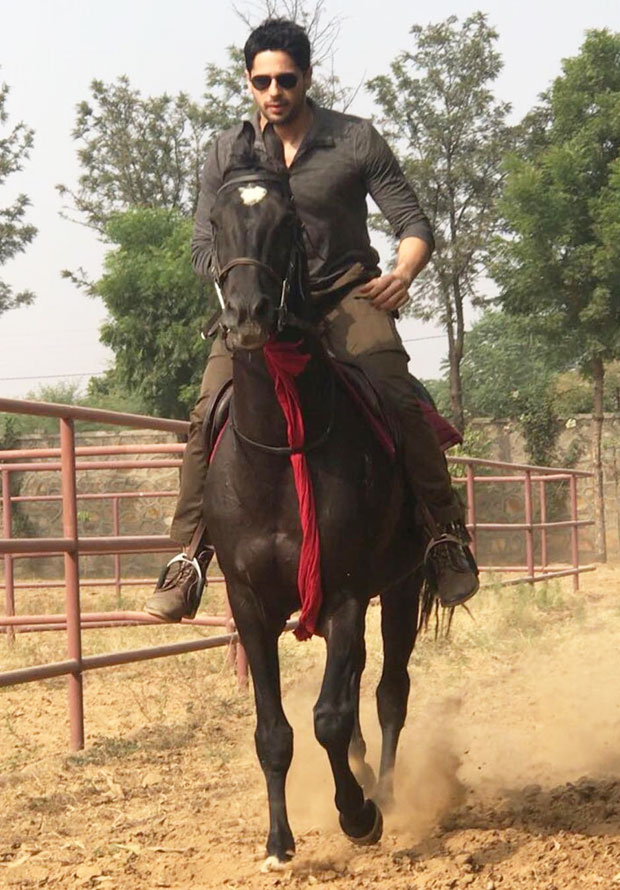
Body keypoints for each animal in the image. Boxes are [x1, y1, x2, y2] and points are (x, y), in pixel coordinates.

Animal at [206, 125, 428, 868]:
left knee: (388, 694)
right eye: (217, 223)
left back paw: (381, 789)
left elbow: (329, 717)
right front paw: (279, 841)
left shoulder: (347, 594)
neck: (280, 457)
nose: (247, 316)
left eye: (287, 224)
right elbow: (274, 731)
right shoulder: (249, 604)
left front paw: (359, 815)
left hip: (405, 586)